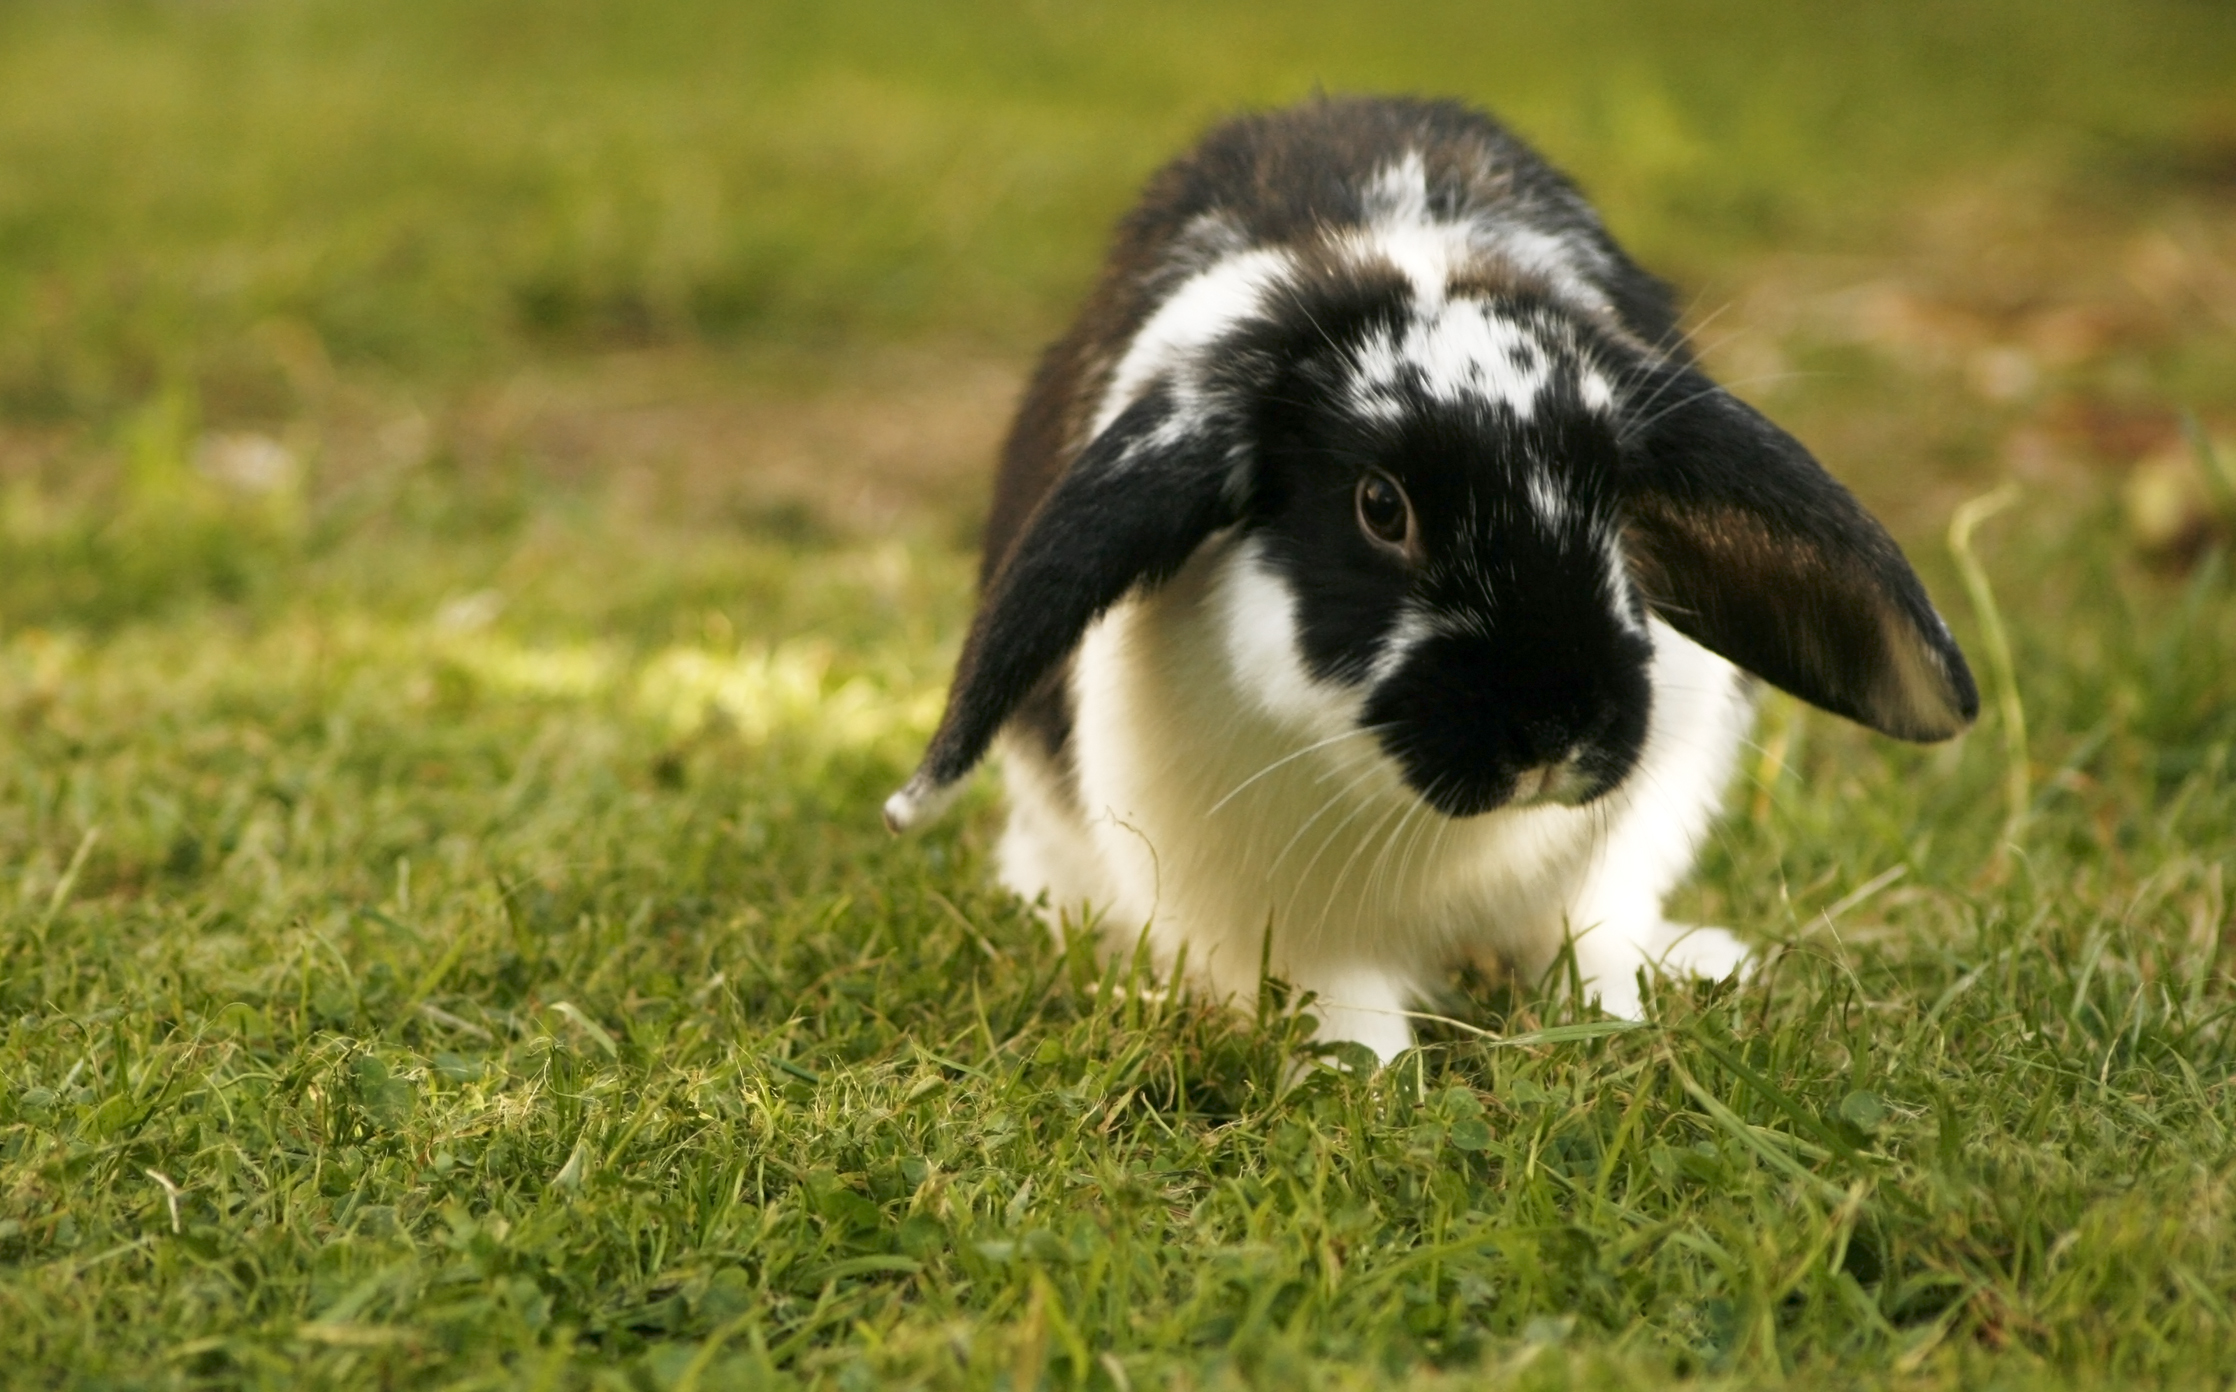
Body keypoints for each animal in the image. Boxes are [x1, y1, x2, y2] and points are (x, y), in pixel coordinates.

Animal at [884, 96, 1977, 1061]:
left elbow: (1588, 941)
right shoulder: (1284, 927)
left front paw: (1620, 1011)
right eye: (1381, 507)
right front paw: (1366, 1076)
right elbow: (1345, 1005)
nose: (1552, 731)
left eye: (1618, 497)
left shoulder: (1607, 862)